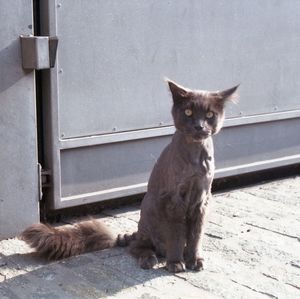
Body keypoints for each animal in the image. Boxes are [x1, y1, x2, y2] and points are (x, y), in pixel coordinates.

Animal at [19, 79, 238, 274]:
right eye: (188, 112)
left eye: (209, 114)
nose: (199, 127)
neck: (195, 158)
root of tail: (132, 234)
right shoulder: (174, 201)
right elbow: (176, 235)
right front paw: (175, 264)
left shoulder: (202, 200)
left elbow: (196, 236)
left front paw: (195, 260)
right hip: (150, 212)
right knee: (139, 248)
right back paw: (150, 259)